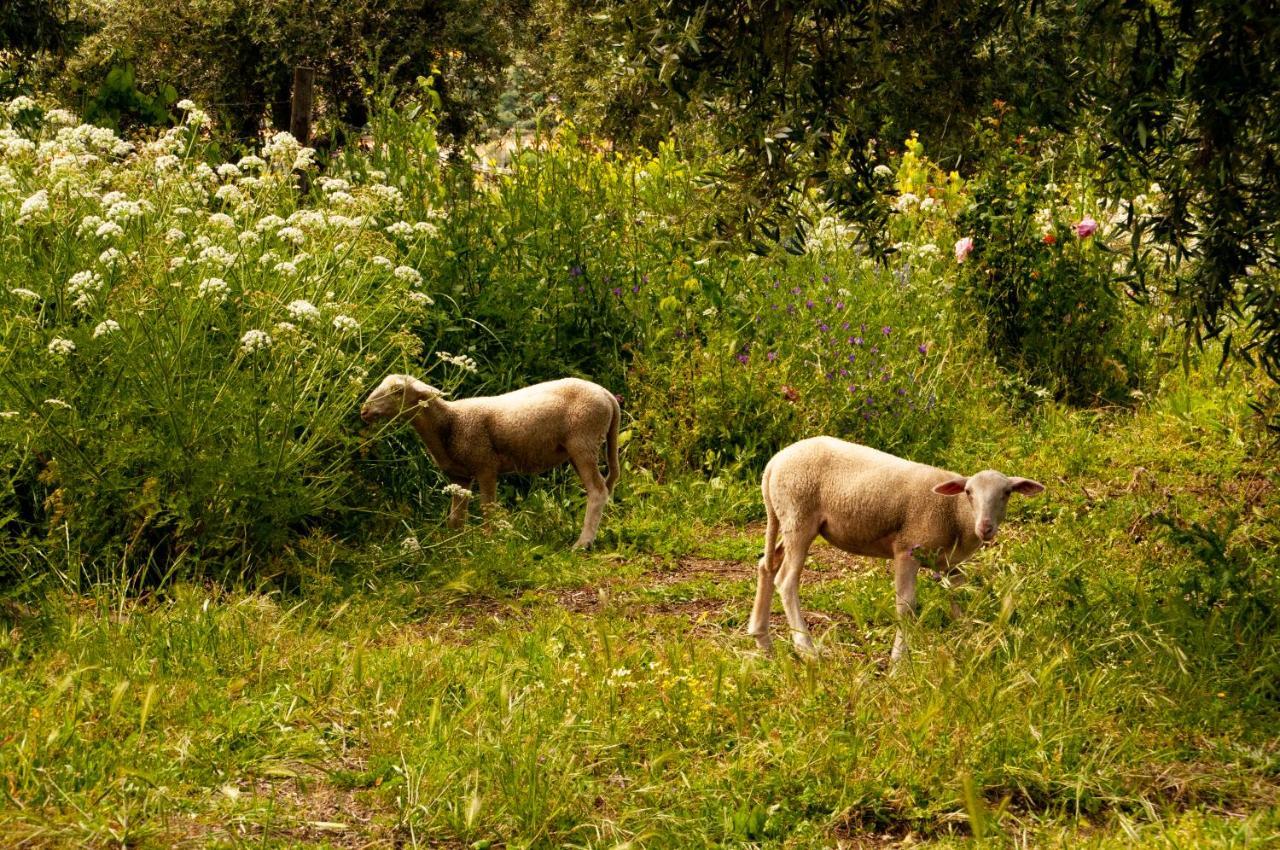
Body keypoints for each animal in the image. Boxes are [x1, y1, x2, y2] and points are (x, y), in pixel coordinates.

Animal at [360, 376, 619, 547]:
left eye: (397, 390)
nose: (364, 411)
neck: (449, 423)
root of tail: (607, 395)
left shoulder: (485, 466)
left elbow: (487, 508)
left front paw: (488, 541)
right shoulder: (459, 477)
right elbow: (456, 518)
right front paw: (453, 546)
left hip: (583, 440)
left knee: (597, 491)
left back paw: (582, 543)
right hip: (580, 446)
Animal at [747, 437, 1044, 665]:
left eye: (1007, 492)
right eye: (969, 492)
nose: (985, 528)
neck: (955, 513)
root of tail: (773, 464)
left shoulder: (949, 563)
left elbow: (959, 597)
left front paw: (971, 642)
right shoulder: (907, 550)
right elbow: (906, 605)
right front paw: (899, 661)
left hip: (789, 520)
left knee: (767, 564)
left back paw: (762, 639)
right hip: (799, 515)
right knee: (786, 580)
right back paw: (806, 648)